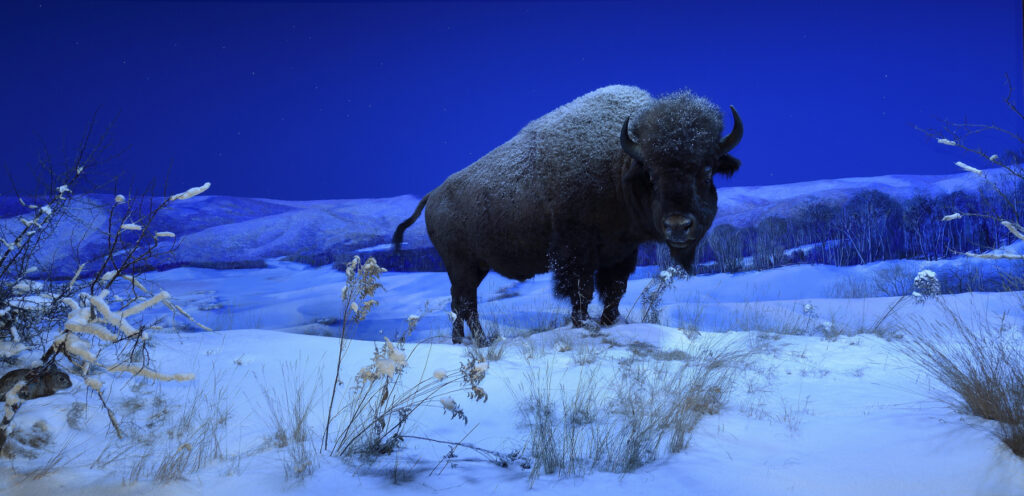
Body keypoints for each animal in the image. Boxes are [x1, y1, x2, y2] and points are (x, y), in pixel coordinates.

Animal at [393, 85, 742, 343]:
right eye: (652, 175)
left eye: (707, 170)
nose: (678, 226)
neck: (620, 165)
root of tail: (433, 194)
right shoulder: (576, 254)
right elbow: (580, 292)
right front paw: (584, 324)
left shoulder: (620, 254)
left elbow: (613, 292)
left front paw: (609, 321)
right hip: (461, 266)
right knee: (467, 304)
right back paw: (482, 341)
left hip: (474, 268)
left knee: (459, 303)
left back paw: (461, 340)